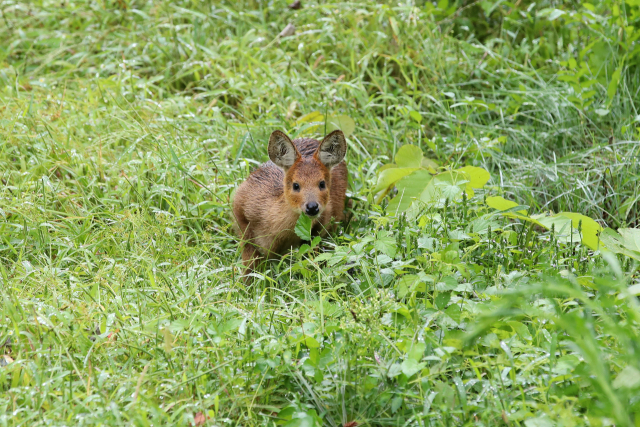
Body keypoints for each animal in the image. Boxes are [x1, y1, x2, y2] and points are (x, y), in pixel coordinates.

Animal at [232, 130, 348, 274]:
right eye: (296, 185)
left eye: (322, 183)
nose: (312, 207)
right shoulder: (242, 220)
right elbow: (249, 268)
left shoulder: (320, 226)